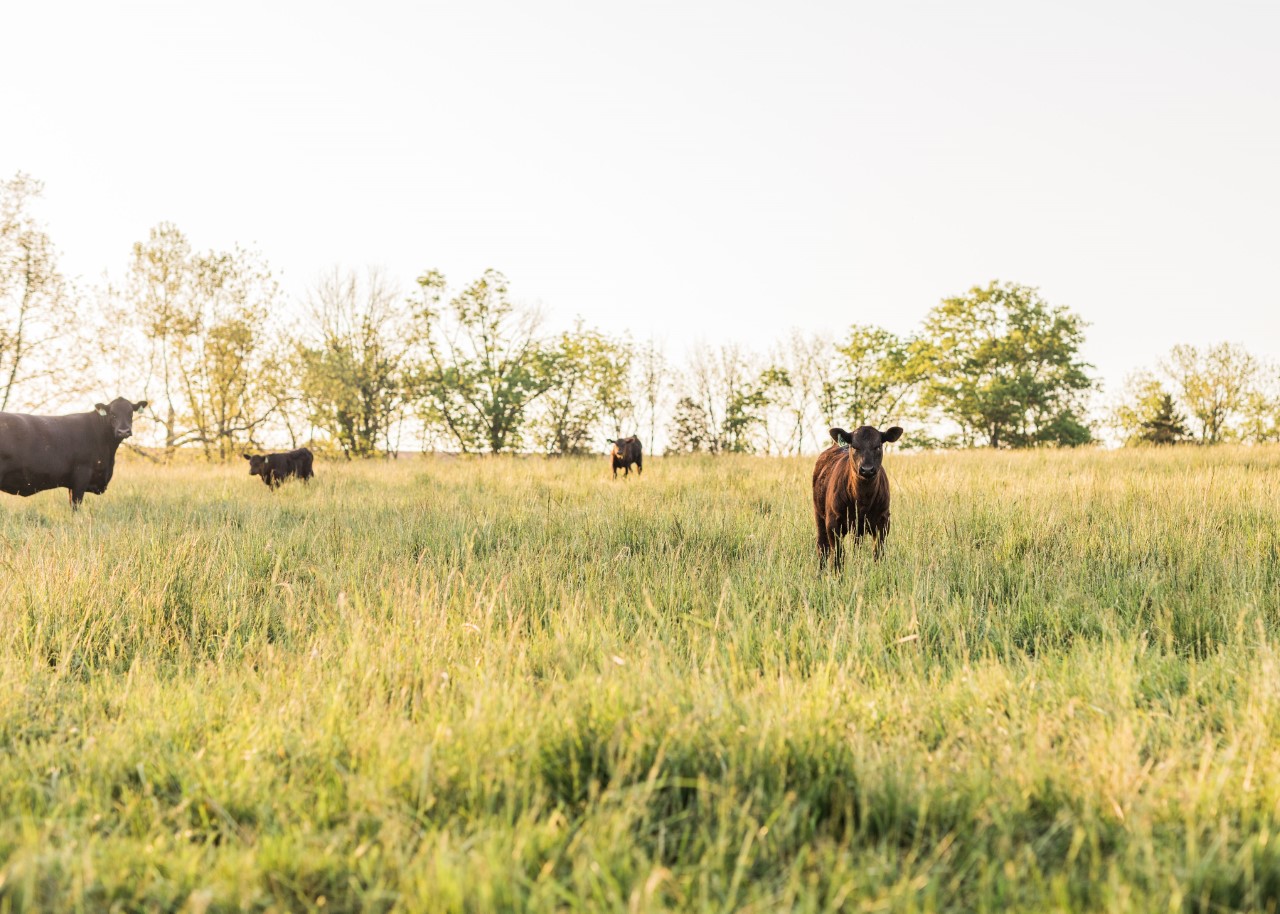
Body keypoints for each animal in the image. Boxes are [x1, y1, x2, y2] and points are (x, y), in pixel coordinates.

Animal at [814, 422, 906, 565]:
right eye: (855, 447)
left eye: (878, 446)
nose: (867, 470)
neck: (862, 499)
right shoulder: (833, 522)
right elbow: (838, 554)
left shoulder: (883, 520)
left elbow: (878, 553)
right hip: (820, 516)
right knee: (822, 548)